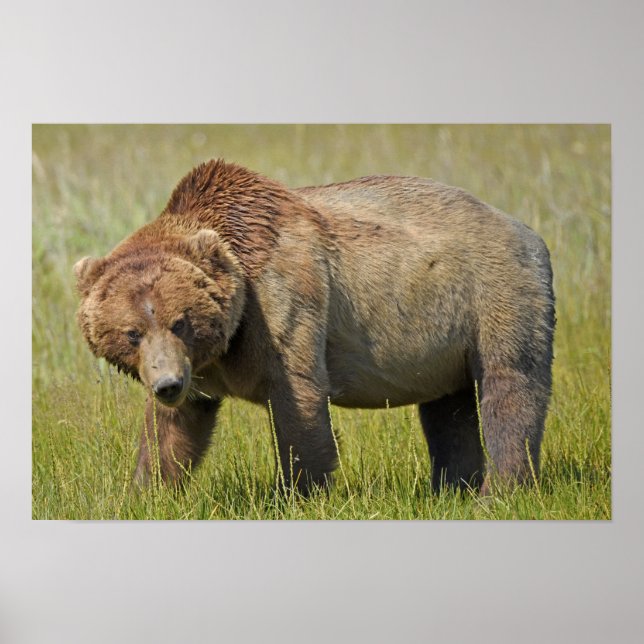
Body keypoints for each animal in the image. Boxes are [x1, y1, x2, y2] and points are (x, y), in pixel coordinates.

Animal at [74, 159, 555, 496]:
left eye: (181, 322)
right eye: (132, 333)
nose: (168, 384)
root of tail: (527, 230)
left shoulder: (282, 300)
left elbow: (298, 399)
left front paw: (300, 491)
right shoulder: (203, 370)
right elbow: (171, 432)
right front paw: (145, 491)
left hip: (494, 293)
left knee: (510, 386)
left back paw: (499, 491)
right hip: (441, 337)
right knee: (448, 411)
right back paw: (453, 487)